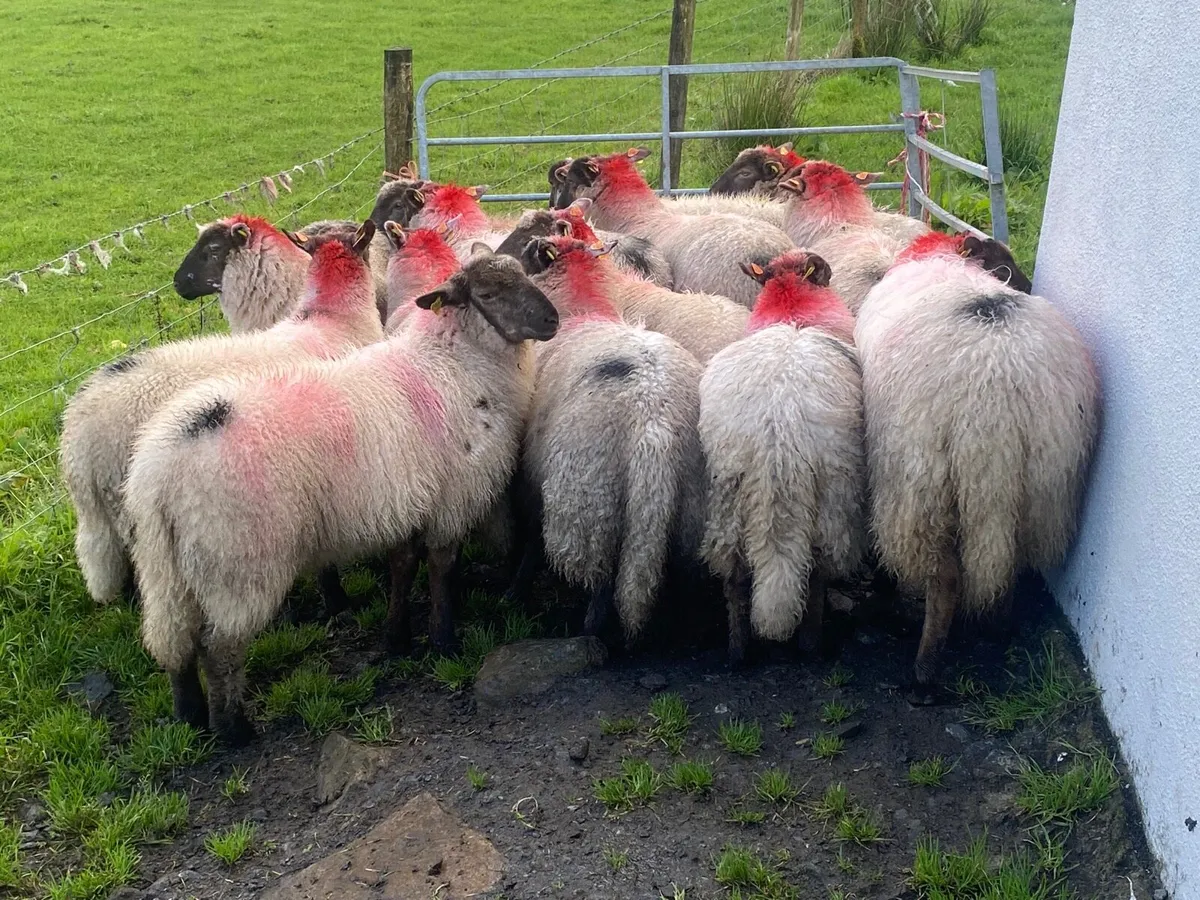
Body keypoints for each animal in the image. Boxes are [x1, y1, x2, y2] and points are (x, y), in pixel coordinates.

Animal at [125, 242, 559, 742]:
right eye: (487, 293)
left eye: (523, 273)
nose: (552, 319)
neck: (454, 363)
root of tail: (159, 470)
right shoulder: (451, 500)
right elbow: (441, 569)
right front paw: (443, 640)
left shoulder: (404, 501)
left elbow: (402, 566)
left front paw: (396, 639)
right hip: (239, 562)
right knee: (220, 647)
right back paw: (235, 731)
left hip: (163, 565)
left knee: (172, 639)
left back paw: (190, 716)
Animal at [515, 235, 706, 643]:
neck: (583, 310)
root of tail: (653, 422)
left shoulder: (534, 471)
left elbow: (532, 539)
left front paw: (516, 591)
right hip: (686, 512)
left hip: (590, 505)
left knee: (601, 580)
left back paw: (591, 632)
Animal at [700, 250, 866, 664]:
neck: (792, 312)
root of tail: (778, 429)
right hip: (834, 493)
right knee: (820, 565)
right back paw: (810, 643)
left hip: (728, 489)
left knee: (733, 572)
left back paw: (737, 649)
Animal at [855, 234, 1099, 690]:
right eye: (1007, 262)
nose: (1029, 284)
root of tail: (997, 391)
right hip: (1046, 477)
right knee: (1012, 558)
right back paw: (998, 628)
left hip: (918, 480)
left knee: (945, 579)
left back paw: (924, 672)